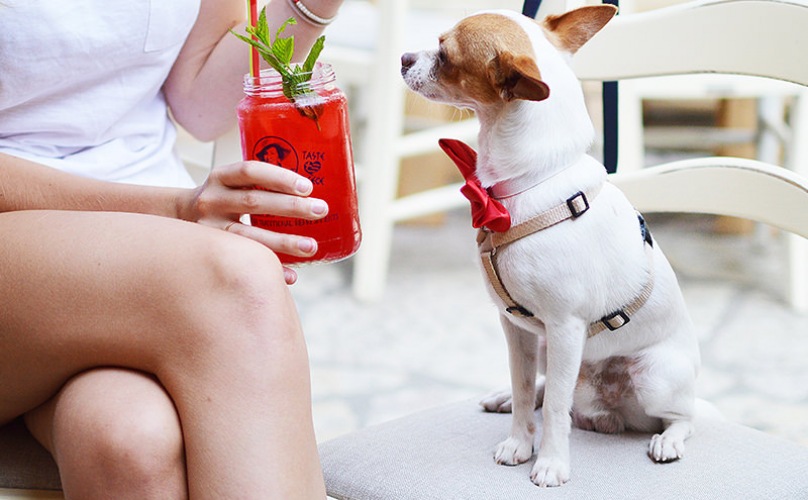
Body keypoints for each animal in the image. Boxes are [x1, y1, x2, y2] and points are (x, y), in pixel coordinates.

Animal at [400, 5, 700, 486]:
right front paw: (520, 443)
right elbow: (525, 390)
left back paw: (668, 439)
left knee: (683, 417)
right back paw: (505, 397)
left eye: (444, 52)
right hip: (546, 350)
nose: (404, 57)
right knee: (543, 388)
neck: (527, 185)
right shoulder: (519, 329)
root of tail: (609, 410)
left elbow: (557, 408)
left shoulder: (564, 328)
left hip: (654, 378)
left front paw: (552, 462)